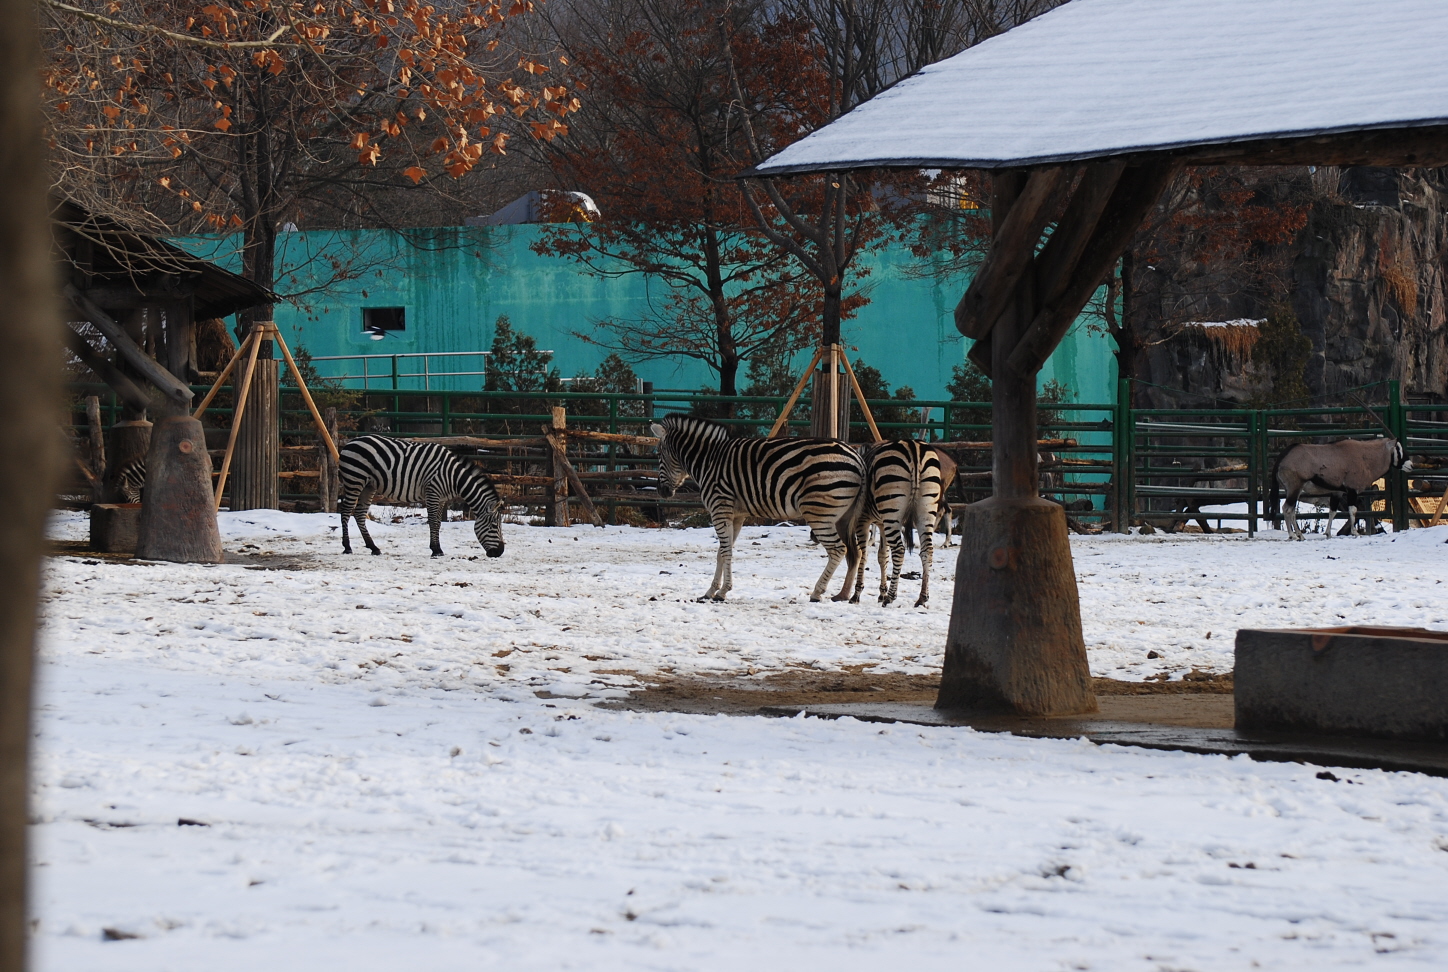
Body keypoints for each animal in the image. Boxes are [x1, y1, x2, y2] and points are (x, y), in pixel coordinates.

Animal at [338, 437, 503, 559]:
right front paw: (435, 550)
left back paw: (373, 547)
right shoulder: (433, 493)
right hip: (355, 480)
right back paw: (347, 547)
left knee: (359, 514)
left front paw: (438, 549)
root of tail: (351, 442)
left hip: (369, 486)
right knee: (346, 512)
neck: (454, 478)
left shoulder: (441, 498)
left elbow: (438, 523)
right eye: (494, 526)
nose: (500, 552)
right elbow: (433, 522)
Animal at [651, 417, 863, 605]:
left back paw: (817, 593)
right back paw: (843, 595)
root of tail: (858, 458)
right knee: (855, 552)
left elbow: (725, 551)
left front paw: (722, 592)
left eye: (659, 455)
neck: (709, 460)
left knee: (838, 549)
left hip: (819, 512)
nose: (661, 491)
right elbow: (722, 552)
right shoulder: (736, 515)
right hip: (842, 517)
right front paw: (711, 591)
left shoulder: (719, 508)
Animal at [834, 440, 944, 608]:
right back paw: (922, 598)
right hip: (925, 511)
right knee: (927, 551)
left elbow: (864, 555)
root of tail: (913, 446)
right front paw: (881, 593)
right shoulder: (882, 523)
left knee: (899, 550)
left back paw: (891, 597)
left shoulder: (862, 520)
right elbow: (883, 556)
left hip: (892, 510)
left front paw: (857, 594)